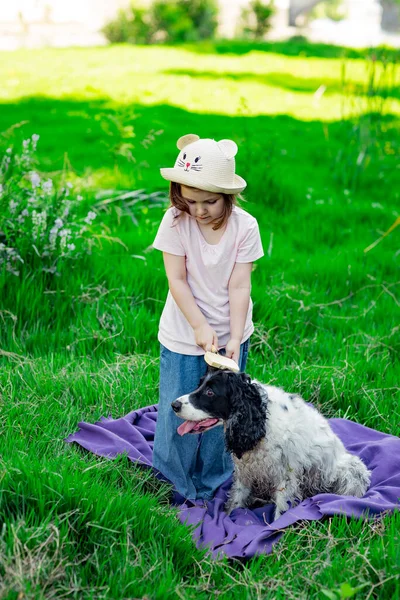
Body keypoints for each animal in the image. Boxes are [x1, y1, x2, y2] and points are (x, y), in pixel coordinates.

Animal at [170, 370, 370, 520]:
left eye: (210, 392)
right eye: (199, 385)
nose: (174, 405)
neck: (260, 421)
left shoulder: (285, 478)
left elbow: (280, 511)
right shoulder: (245, 472)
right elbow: (236, 499)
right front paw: (229, 516)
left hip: (351, 470)